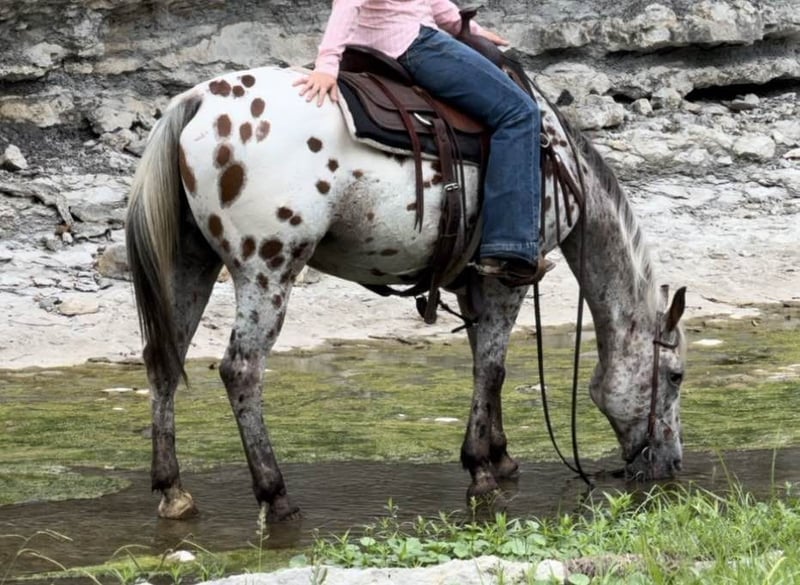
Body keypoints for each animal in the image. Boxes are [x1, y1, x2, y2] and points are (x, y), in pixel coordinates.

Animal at [125, 64, 688, 521]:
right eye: (675, 375)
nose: (673, 464)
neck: (557, 162)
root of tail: (198, 100)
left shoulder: (472, 281)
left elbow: (486, 365)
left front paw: (500, 456)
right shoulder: (507, 278)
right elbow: (492, 368)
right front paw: (480, 472)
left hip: (190, 264)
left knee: (162, 361)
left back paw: (173, 491)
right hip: (267, 269)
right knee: (241, 370)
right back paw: (275, 494)